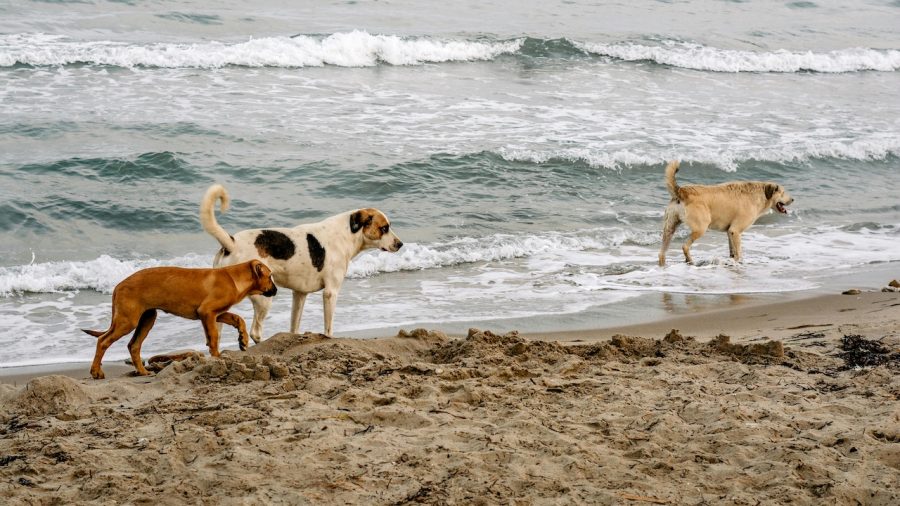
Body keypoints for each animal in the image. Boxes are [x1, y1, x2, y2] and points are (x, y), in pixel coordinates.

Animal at [84, 258, 274, 378]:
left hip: (147, 318)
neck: (233, 279)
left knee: (134, 345)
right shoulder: (207, 312)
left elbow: (238, 318)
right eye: (270, 276)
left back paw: (143, 372)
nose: (276, 290)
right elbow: (213, 337)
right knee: (103, 341)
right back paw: (96, 372)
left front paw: (243, 339)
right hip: (128, 320)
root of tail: (118, 285)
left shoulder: (216, 313)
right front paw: (217, 357)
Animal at [656, 161, 792, 264]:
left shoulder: (729, 232)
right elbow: (739, 252)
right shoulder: (735, 231)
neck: (760, 195)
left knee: (661, 253)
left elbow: (732, 251)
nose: (792, 199)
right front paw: (739, 262)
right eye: (783, 193)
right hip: (700, 228)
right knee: (685, 246)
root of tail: (682, 191)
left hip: (669, 229)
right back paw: (690, 261)